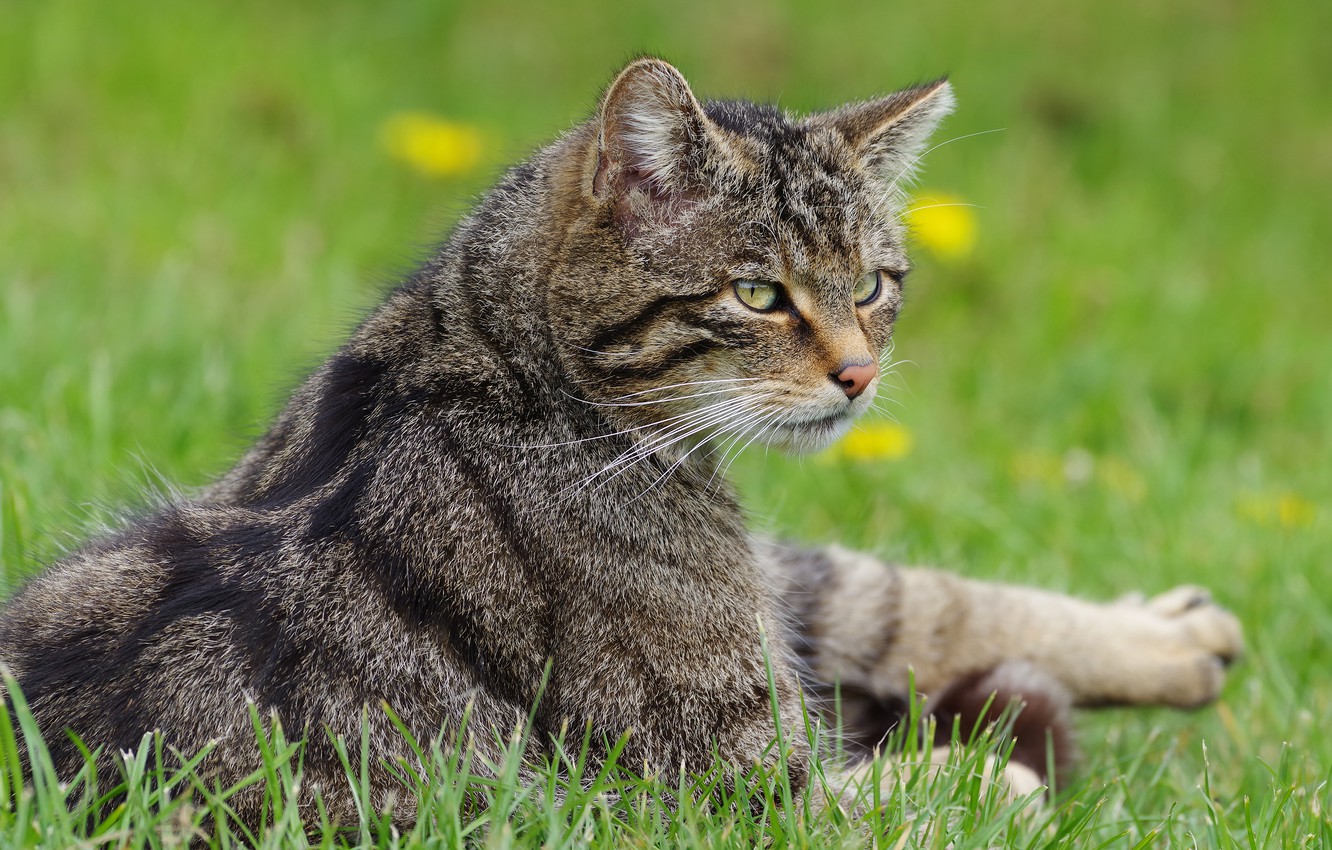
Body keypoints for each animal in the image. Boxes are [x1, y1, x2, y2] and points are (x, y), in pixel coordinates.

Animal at [0, 58, 1236, 826]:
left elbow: (911, 596)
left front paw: (1164, 640)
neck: (478, 360)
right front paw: (994, 779)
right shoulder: (735, 787)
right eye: (758, 293)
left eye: (874, 286)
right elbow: (913, 780)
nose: (859, 374)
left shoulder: (773, 586)